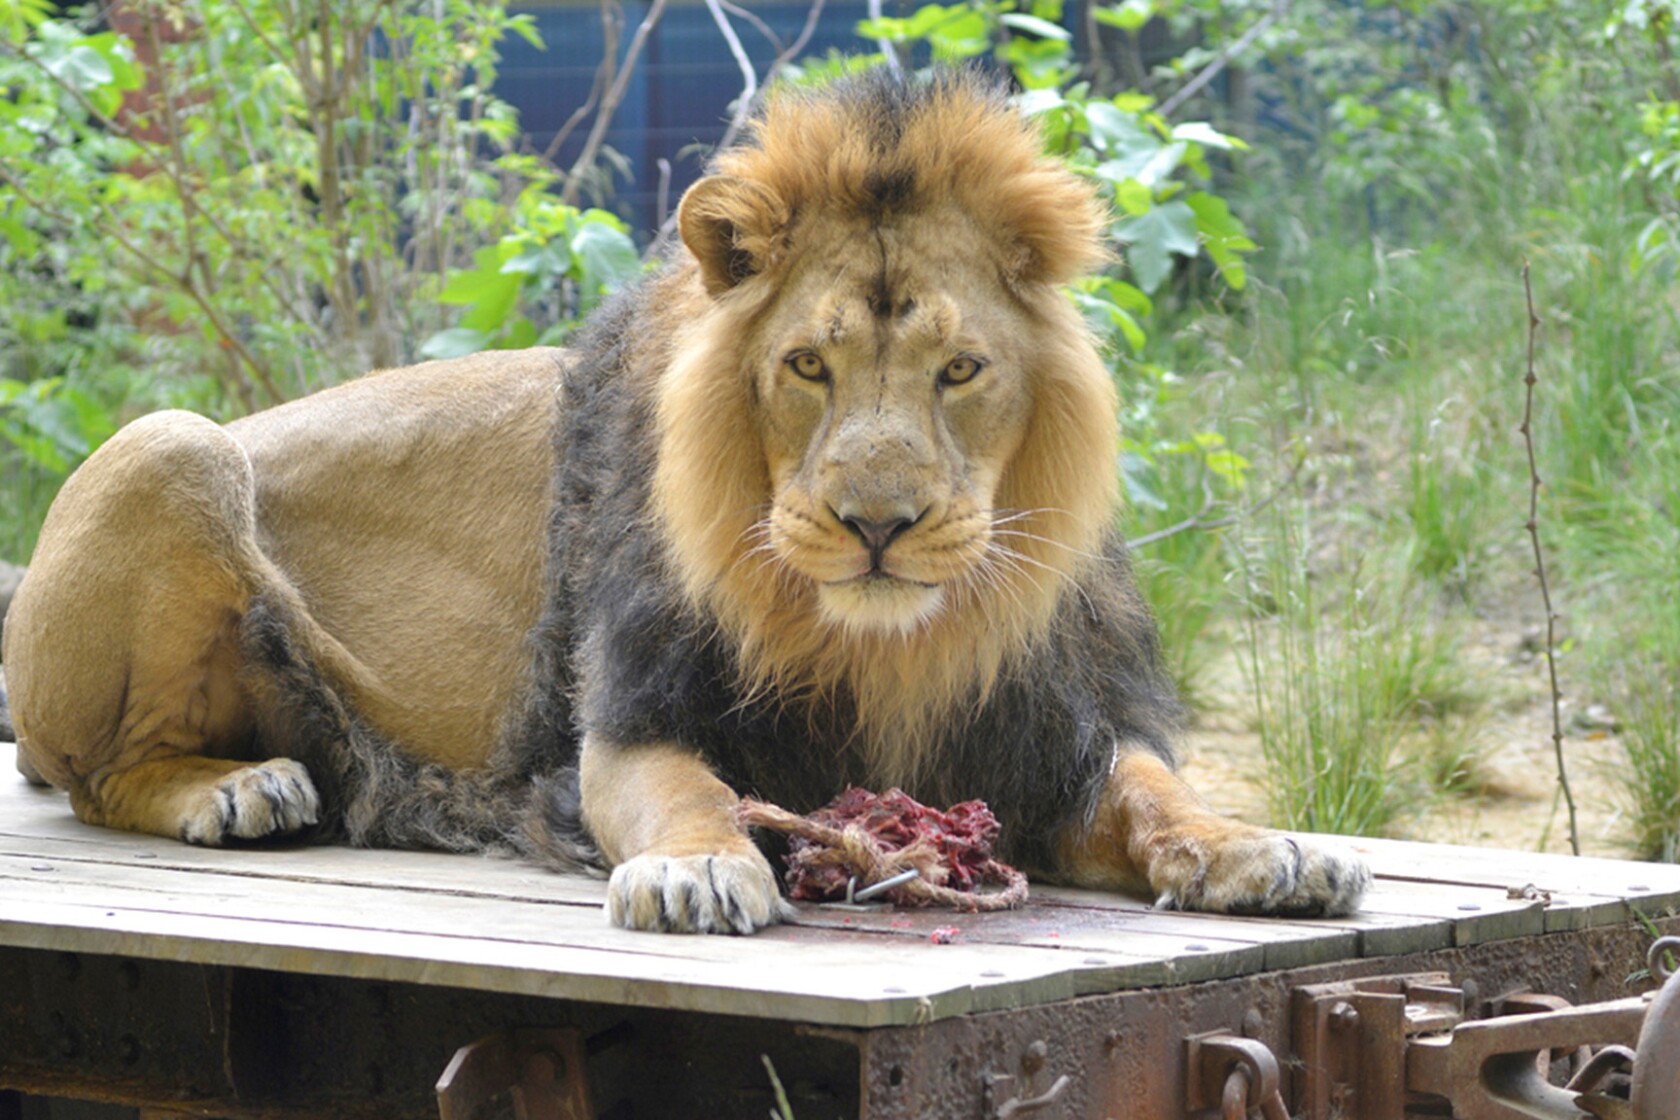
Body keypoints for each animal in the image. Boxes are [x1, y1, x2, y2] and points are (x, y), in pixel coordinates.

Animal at [0, 72, 1364, 940]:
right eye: (807, 367)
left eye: (960, 370)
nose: (878, 525)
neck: (886, 648)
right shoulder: (626, 717)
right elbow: (684, 792)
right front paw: (699, 872)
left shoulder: (1056, 733)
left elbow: (1157, 795)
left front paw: (1262, 848)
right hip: (171, 445)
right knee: (93, 775)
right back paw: (237, 791)